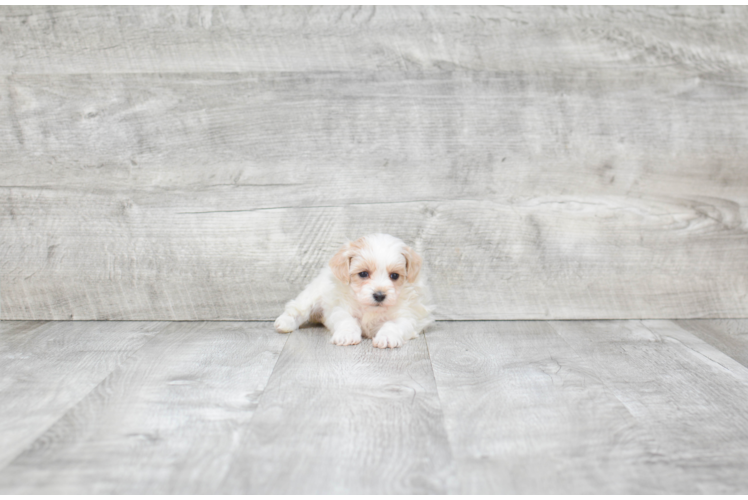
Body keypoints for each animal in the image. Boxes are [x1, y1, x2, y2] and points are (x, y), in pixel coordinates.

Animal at [274, 233, 432, 348]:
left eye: (394, 276)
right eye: (363, 274)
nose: (379, 295)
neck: (371, 309)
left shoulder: (407, 316)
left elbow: (393, 325)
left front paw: (386, 337)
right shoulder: (341, 309)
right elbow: (347, 321)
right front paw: (347, 336)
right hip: (313, 294)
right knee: (297, 308)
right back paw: (284, 322)